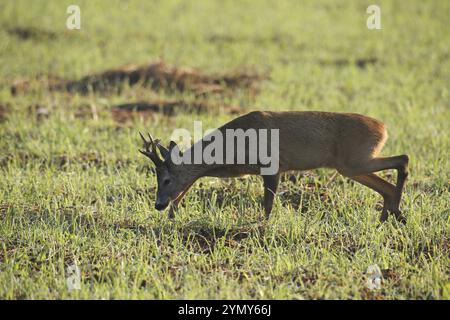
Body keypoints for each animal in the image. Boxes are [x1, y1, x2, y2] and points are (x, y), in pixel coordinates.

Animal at [139, 110, 410, 222]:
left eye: (166, 179)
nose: (158, 205)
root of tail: (383, 128)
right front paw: (172, 216)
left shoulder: (272, 166)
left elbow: (268, 205)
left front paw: (261, 227)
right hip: (351, 165)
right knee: (386, 185)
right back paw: (388, 216)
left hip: (356, 160)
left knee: (403, 159)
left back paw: (396, 213)